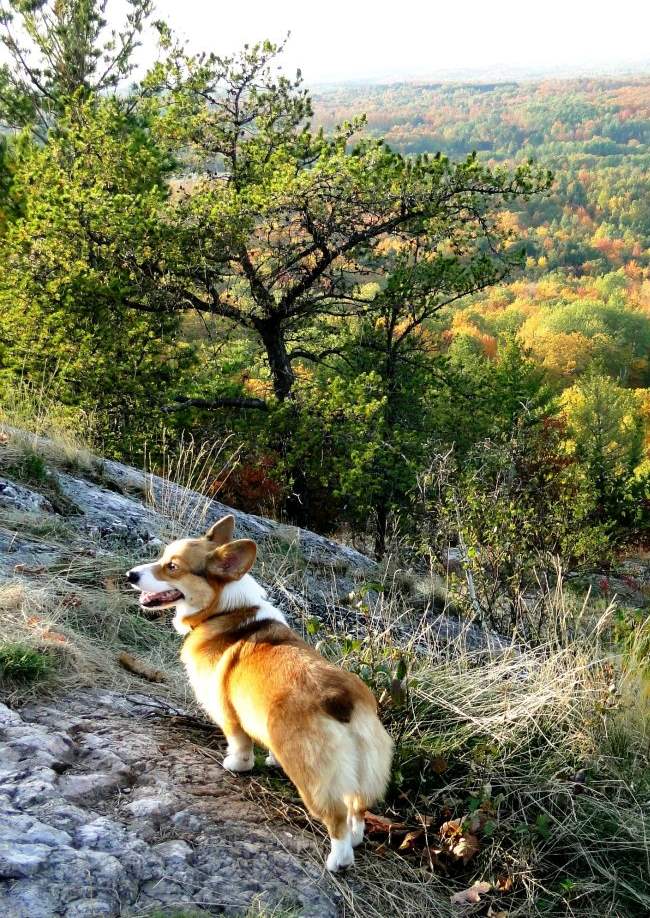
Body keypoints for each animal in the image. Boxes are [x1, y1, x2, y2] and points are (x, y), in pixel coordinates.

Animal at [125, 512, 390, 872]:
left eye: (172, 567)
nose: (130, 575)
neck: (224, 608)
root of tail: (342, 701)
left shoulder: (228, 713)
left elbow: (239, 745)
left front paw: (236, 765)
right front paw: (270, 760)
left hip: (314, 780)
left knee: (334, 818)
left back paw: (338, 860)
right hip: (364, 769)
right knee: (358, 809)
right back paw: (357, 836)